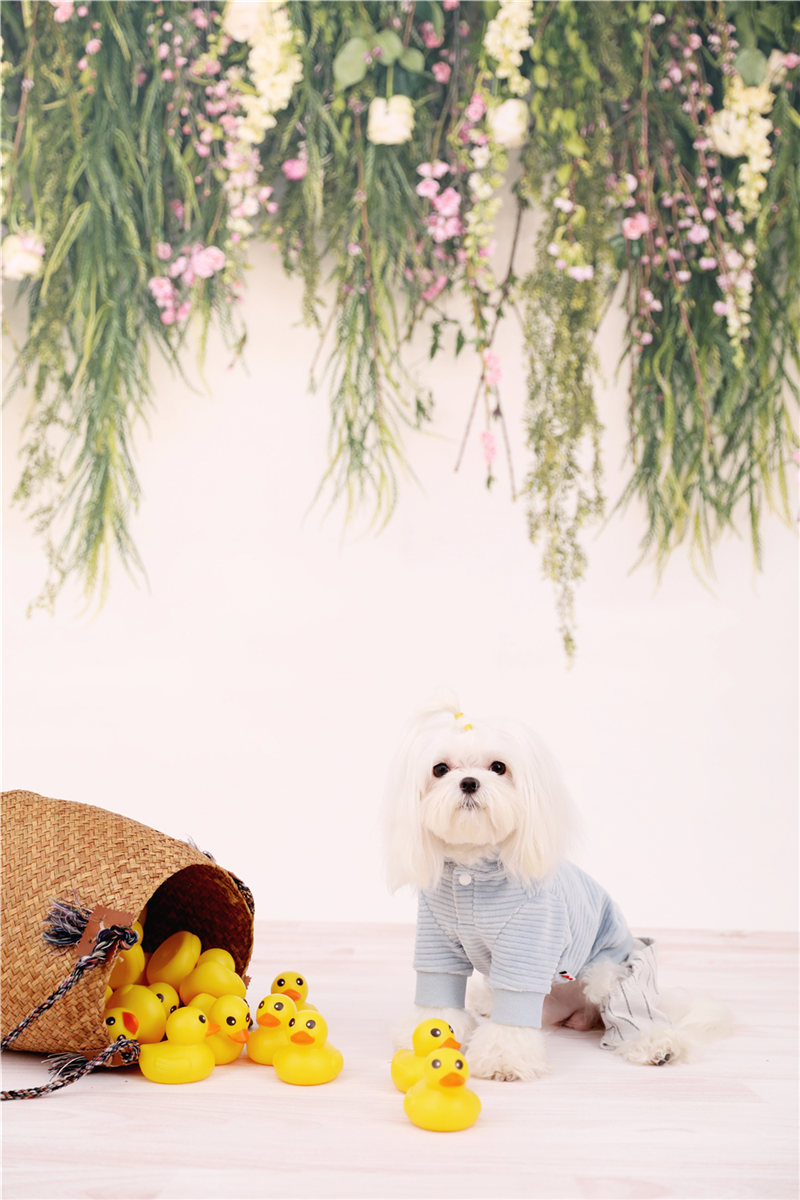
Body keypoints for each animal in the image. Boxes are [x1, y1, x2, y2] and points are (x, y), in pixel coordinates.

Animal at [385, 696, 729, 1081]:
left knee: (633, 1013)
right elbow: (439, 994)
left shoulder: (527, 949)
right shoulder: (438, 943)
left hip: (616, 975)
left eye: (499, 767)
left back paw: (659, 1046)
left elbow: (514, 1012)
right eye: (440, 769)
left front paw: (504, 1060)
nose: (470, 782)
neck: (472, 870)